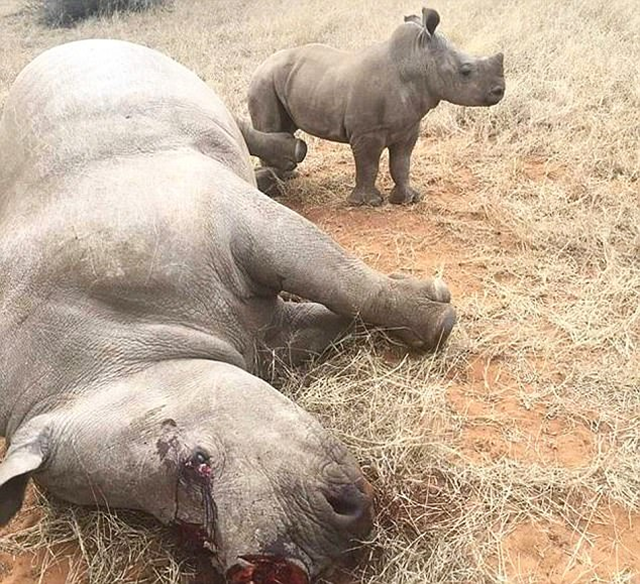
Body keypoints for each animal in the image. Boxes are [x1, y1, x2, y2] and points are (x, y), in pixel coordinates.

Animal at [0, 40, 458, 580]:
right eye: (168, 523)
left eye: (196, 461)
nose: (291, 562)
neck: (108, 344)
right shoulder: (253, 338)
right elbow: (332, 316)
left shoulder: (223, 214)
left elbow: (344, 281)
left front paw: (438, 316)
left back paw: (288, 159)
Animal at [250, 7, 504, 205]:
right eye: (466, 71)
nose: (500, 91)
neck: (417, 64)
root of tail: (262, 63)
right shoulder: (366, 132)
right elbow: (369, 164)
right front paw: (367, 203)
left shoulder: (409, 127)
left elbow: (402, 163)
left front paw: (408, 199)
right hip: (263, 81)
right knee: (270, 129)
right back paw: (278, 188)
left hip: (284, 79)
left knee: (285, 128)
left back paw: (288, 176)